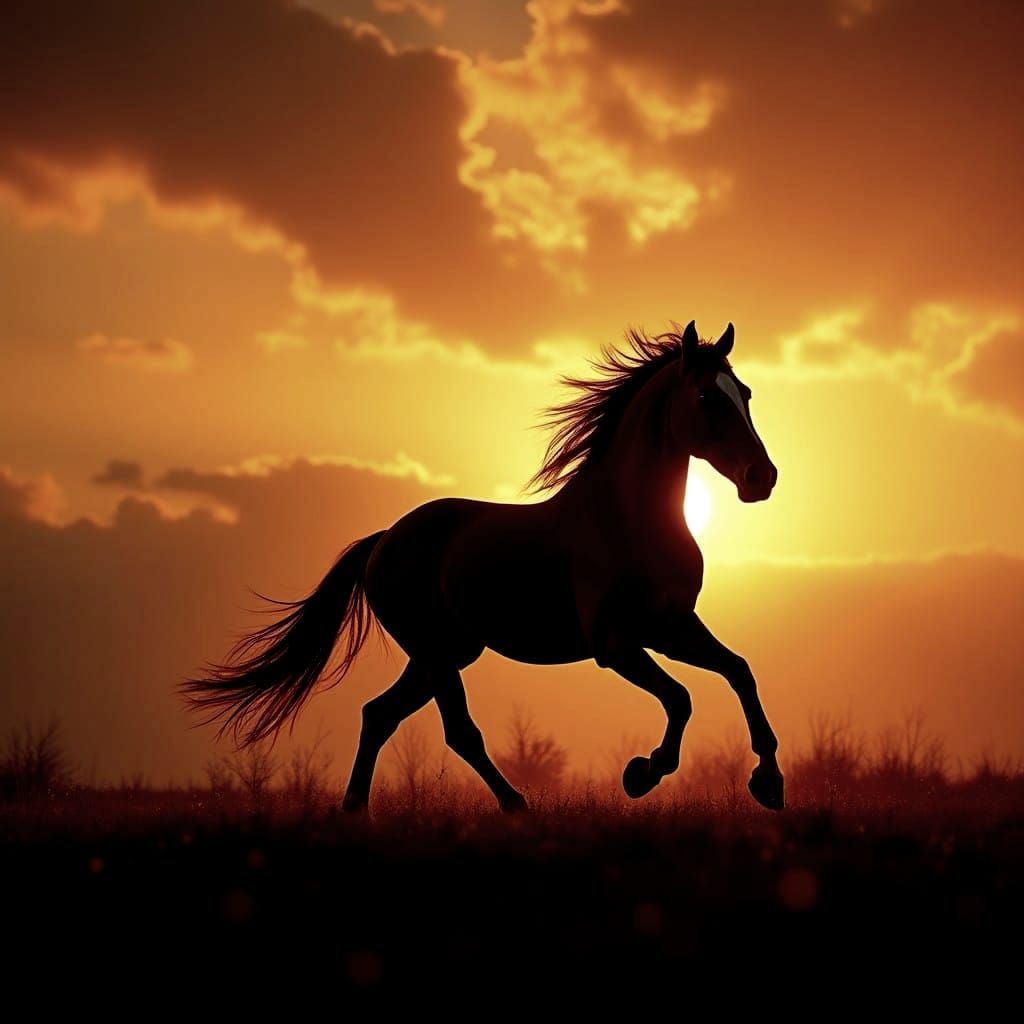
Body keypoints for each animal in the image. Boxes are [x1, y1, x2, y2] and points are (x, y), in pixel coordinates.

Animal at [184, 320, 784, 812]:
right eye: (706, 395)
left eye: (747, 394)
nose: (763, 478)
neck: (628, 518)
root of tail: (384, 540)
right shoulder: (615, 643)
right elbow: (681, 698)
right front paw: (642, 773)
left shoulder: (672, 625)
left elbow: (739, 670)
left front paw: (769, 782)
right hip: (435, 652)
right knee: (456, 731)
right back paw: (516, 805)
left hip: (445, 652)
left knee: (379, 714)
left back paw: (356, 810)